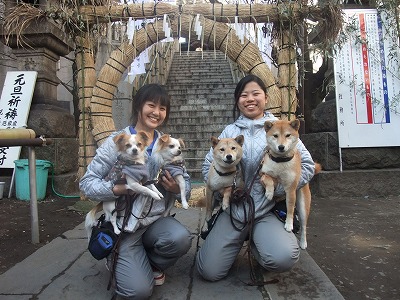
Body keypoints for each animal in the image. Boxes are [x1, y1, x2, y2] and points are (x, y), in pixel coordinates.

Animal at [260, 119, 322, 248]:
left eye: (288, 135)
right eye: (275, 135)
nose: (281, 147)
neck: (280, 161)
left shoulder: (290, 189)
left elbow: (289, 209)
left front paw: (289, 224)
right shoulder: (263, 173)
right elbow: (269, 179)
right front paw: (269, 193)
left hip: (303, 206)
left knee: (303, 226)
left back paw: (303, 243)